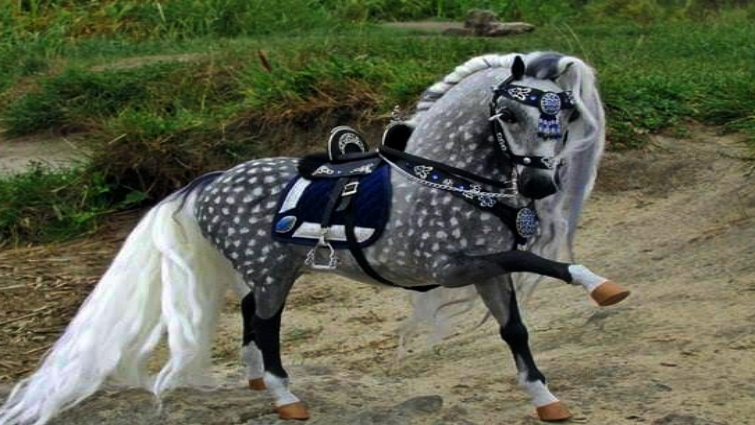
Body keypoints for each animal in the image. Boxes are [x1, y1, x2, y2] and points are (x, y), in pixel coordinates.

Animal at [0, 51, 630, 425]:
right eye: (509, 115)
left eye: (565, 116)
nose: (541, 181)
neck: (445, 177)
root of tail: (209, 181)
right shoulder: (451, 266)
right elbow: (542, 264)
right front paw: (602, 286)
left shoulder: (487, 270)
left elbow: (515, 329)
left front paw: (545, 399)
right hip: (271, 271)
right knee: (267, 325)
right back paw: (285, 397)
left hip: (273, 268)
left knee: (252, 316)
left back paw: (257, 380)